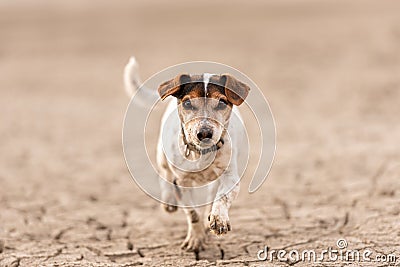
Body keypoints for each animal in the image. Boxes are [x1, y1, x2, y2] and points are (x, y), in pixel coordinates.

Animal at [125, 57, 250, 254]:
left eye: (222, 103)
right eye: (188, 103)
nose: (204, 133)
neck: (201, 153)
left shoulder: (230, 177)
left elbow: (221, 198)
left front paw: (218, 219)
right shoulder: (181, 182)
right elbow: (192, 214)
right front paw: (195, 239)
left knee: (211, 196)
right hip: (162, 155)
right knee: (164, 174)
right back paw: (168, 201)